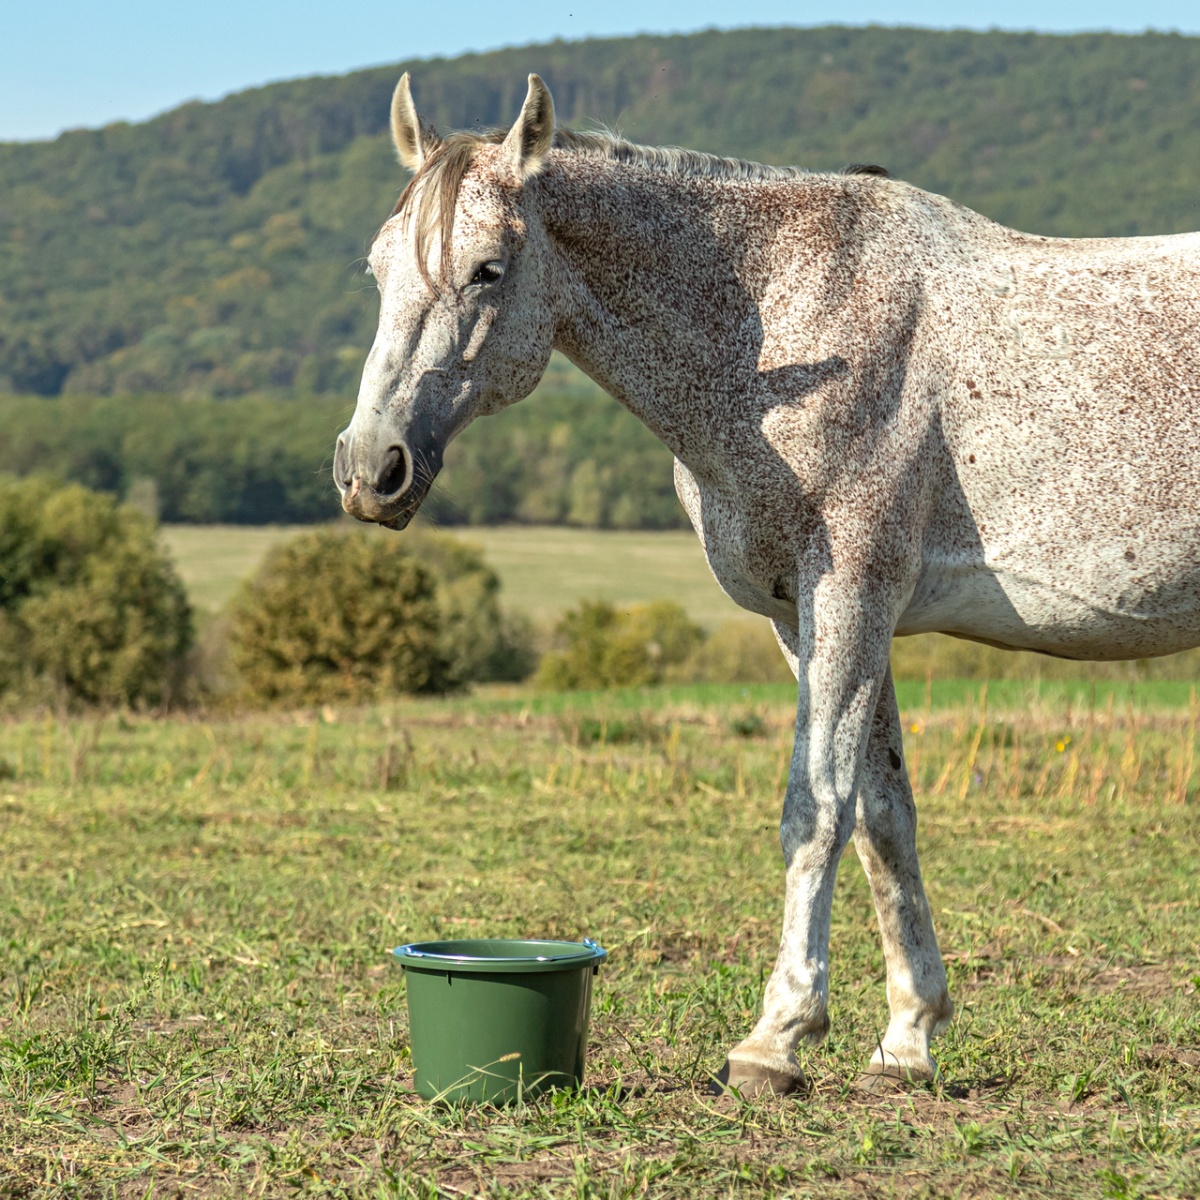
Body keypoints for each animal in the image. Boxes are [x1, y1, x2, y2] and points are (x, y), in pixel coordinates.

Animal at [333, 75, 1200, 1099]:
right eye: (378, 269)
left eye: (488, 271)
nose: (370, 468)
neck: (793, 320)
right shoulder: (810, 618)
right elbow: (882, 817)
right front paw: (908, 1038)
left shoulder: (851, 594)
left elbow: (815, 809)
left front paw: (775, 1040)